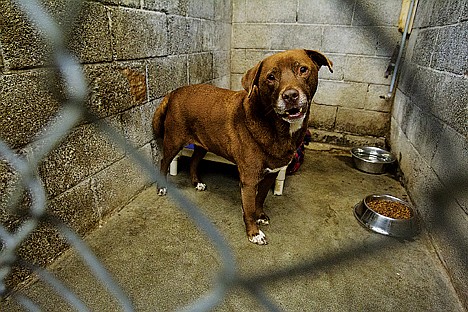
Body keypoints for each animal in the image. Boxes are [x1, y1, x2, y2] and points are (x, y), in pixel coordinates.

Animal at [154, 48, 332, 245]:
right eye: (271, 77)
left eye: (303, 69)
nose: (290, 96)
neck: (276, 126)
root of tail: (174, 91)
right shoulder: (249, 178)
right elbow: (249, 208)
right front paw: (254, 233)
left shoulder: (272, 173)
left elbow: (260, 199)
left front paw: (260, 215)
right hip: (174, 141)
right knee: (164, 162)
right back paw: (161, 187)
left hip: (203, 143)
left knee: (194, 161)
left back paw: (197, 183)